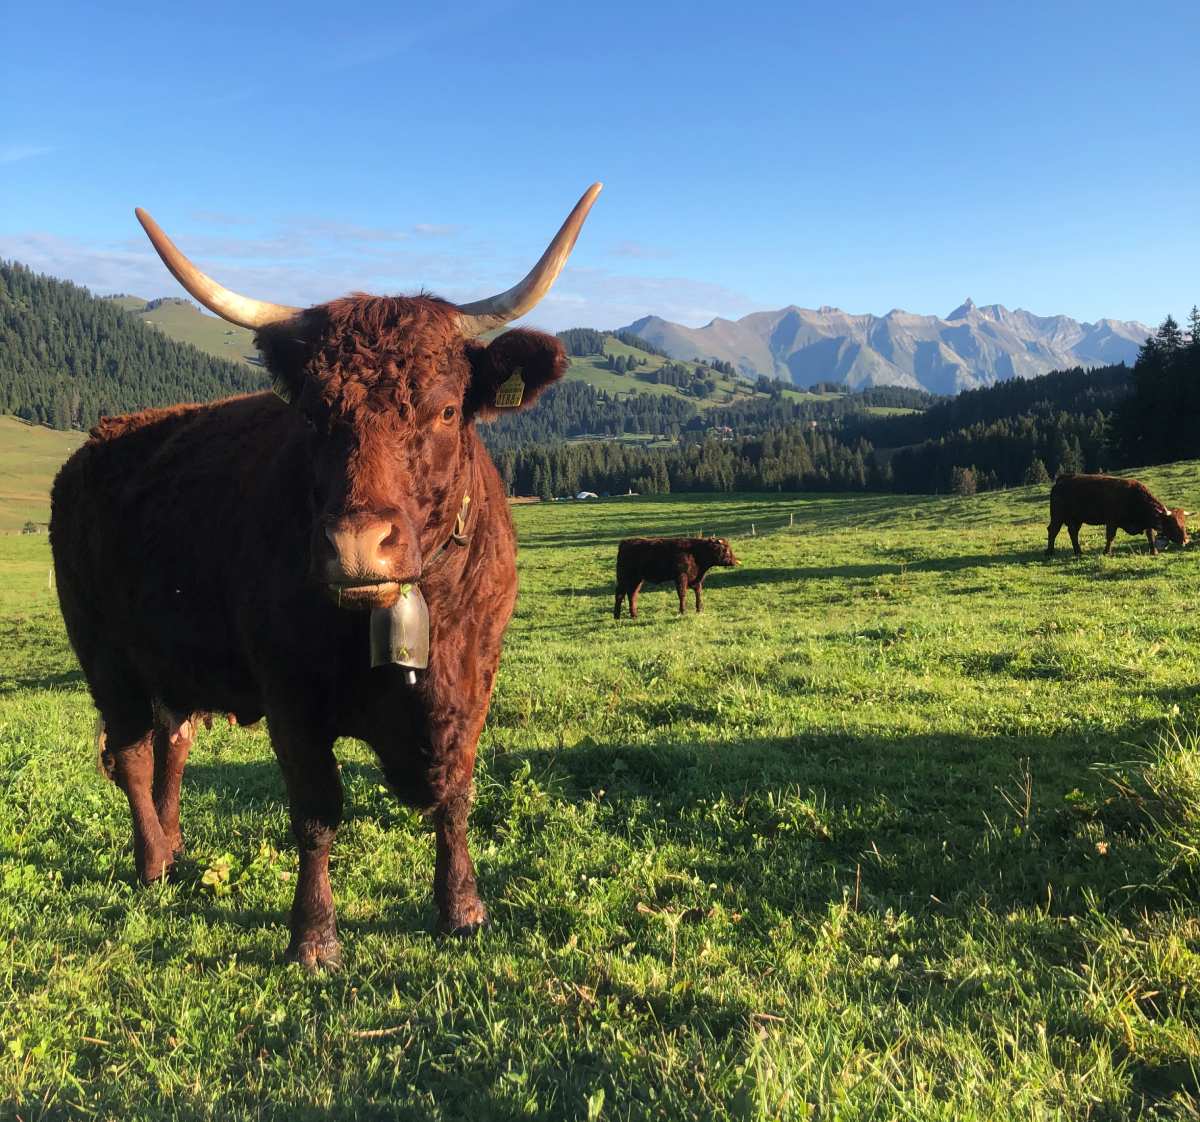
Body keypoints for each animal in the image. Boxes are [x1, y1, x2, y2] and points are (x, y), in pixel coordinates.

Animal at [49, 184, 602, 969]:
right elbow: (315, 812)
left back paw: (177, 848)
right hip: (103, 653)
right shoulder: (290, 694)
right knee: (129, 754)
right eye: (312, 416)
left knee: (172, 745)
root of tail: (98, 441)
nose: (359, 545)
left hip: (171, 663)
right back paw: (153, 862)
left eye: (444, 409)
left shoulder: (474, 676)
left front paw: (462, 908)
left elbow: (456, 792)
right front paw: (313, 936)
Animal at [1046, 473, 1190, 557]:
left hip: (1076, 519)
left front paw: (1154, 552)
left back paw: (1078, 552)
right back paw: (1050, 552)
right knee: (1053, 530)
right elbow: (1110, 536)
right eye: (1173, 524)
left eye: (1184, 523)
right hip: (1057, 516)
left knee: (1073, 532)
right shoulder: (1111, 521)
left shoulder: (1147, 522)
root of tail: (1061, 481)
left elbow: (1150, 536)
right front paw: (1106, 552)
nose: (1186, 540)